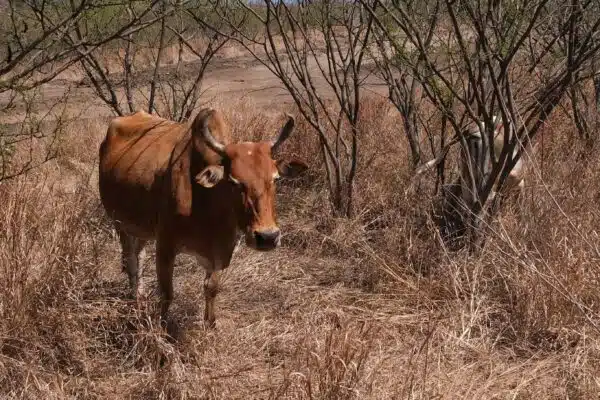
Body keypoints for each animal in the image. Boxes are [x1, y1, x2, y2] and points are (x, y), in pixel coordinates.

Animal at [98, 108, 308, 326]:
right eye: (234, 182)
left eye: (275, 178)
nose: (267, 237)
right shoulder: (165, 247)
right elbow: (167, 294)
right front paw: (162, 326)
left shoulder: (220, 252)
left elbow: (211, 287)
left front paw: (210, 323)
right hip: (120, 223)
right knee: (131, 260)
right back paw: (135, 298)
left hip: (141, 228)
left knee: (139, 255)